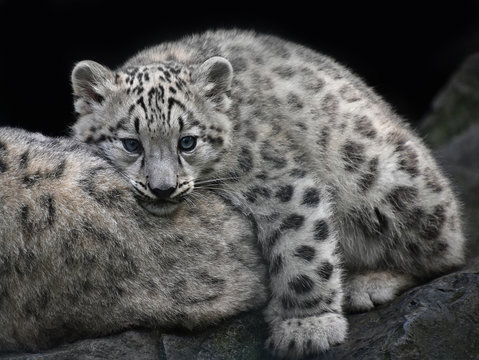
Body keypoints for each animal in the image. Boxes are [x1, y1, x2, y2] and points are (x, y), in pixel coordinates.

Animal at [71, 29, 464, 358]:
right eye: (131, 144)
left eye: (187, 142)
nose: (163, 188)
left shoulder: (281, 181)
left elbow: (303, 250)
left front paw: (307, 329)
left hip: (383, 177)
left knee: (445, 253)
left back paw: (369, 284)